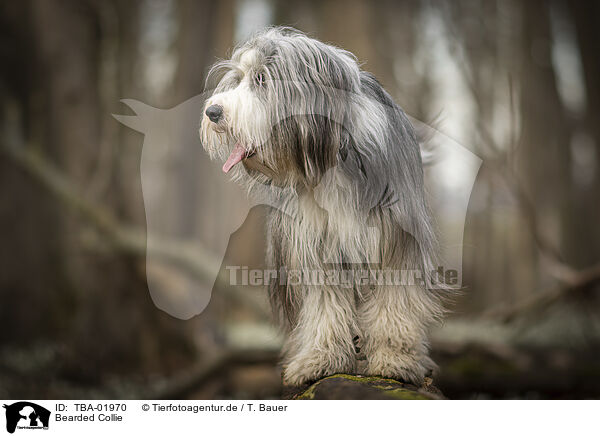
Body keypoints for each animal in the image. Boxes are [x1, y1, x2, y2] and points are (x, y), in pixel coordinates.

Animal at [199, 26, 442, 384]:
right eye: (240, 78)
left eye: (261, 79)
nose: (212, 112)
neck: (332, 158)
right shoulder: (316, 244)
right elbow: (325, 305)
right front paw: (321, 359)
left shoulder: (395, 238)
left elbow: (393, 301)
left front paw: (395, 359)